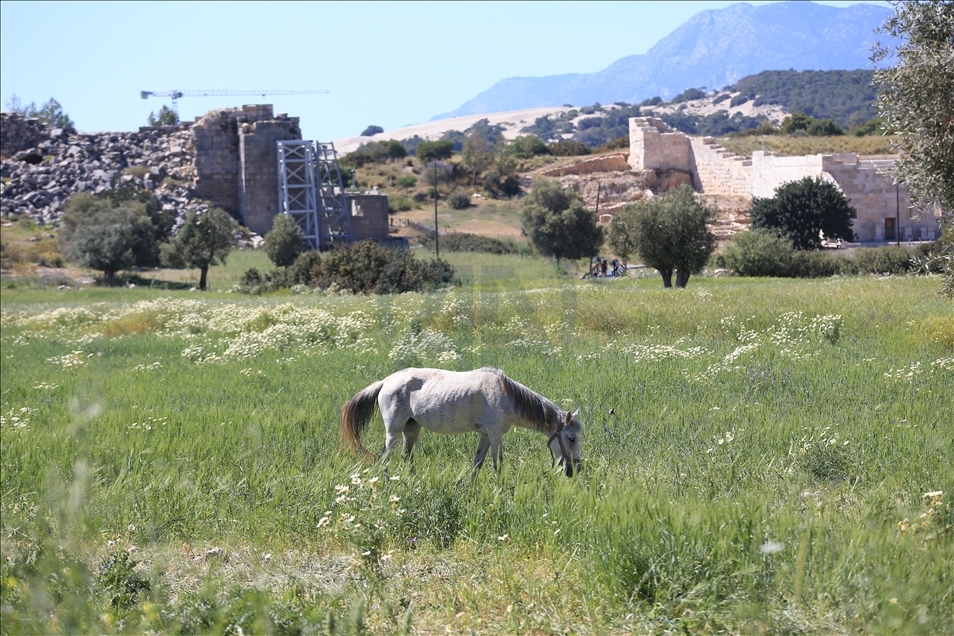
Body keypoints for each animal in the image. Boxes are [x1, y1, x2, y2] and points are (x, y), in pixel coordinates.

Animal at [342, 366, 580, 474]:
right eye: (571, 438)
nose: (575, 469)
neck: (505, 395)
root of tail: (385, 381)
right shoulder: (495, 435)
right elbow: (498, 464)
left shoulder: (485, 435)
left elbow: (478, 464)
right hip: (394, 430)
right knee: (385, 457)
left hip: (412, 428)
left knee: (407, 456)